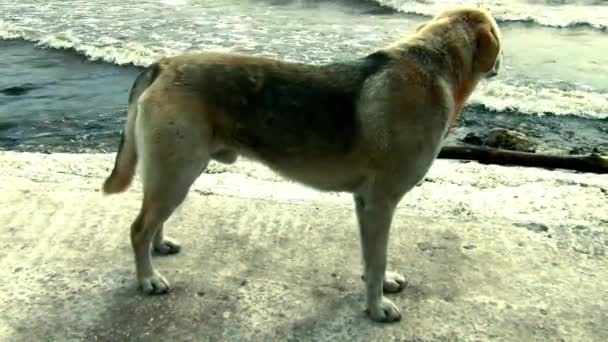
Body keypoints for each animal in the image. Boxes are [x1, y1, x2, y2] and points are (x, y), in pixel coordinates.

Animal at [102, 6, 502, 324]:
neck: (435, 62)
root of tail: (163, 65)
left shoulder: (366, 205)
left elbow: (372, 258)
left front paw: (382, 286)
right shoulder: (380, 203)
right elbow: (376, 260)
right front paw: (376, 308)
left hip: (173, 173)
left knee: (153, 220)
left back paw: (159, 247)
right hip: (177, 172)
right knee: (138, 228)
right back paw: (148, 278)